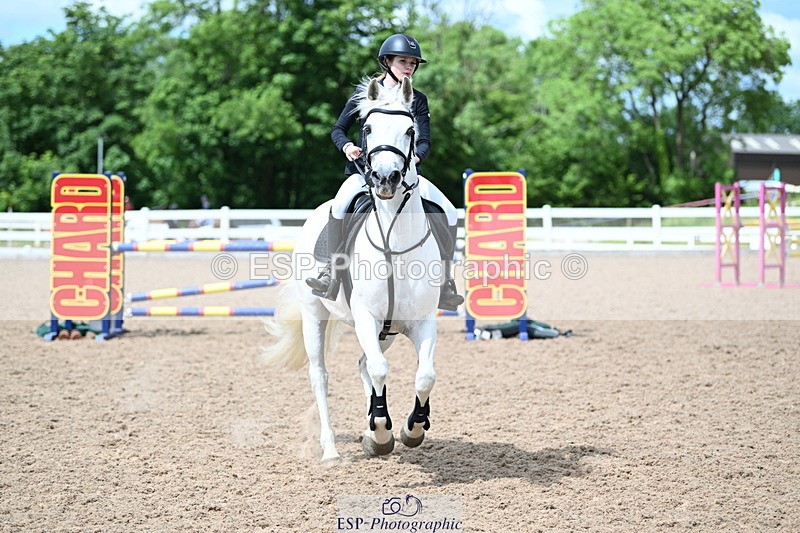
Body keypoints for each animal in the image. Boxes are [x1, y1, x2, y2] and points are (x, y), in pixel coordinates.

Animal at [262, 77, 443, 462]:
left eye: (410, 130)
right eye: (367, 128)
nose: (386, 179)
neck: (394, 244)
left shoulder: (421, 321)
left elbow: (424, 376)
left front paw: (410, 428)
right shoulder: (365, 317)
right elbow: (379, 369)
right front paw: (381, 430)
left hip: (387, 332)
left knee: (364, 364)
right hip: (316, 315)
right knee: (322, 375)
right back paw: (331, 449)